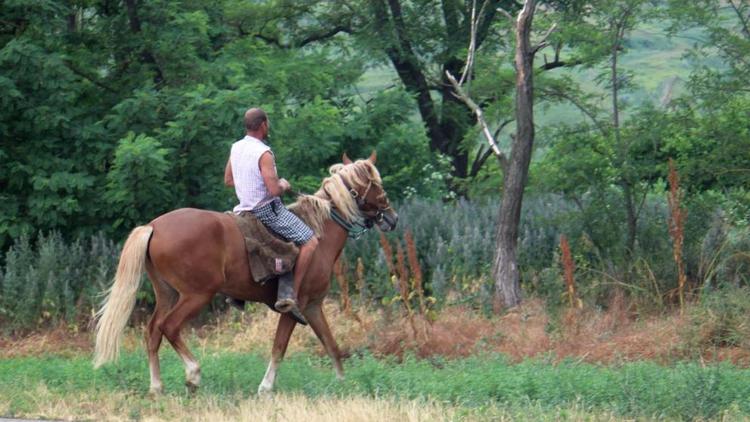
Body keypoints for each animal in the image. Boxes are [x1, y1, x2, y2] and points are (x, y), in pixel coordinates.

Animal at [94, 152, 400, 396]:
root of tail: (154, 226)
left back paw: (156, 387)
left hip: (167, 294)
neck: (319, 233)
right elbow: (279, 347)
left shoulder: (313, 306)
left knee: (153, 331)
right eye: (376, 184)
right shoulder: (296, 308)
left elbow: (331, 344)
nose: (392, 218)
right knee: (169, 327)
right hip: (196, 295)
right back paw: (193, 375)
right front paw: (265, 387)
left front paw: (342, 383)